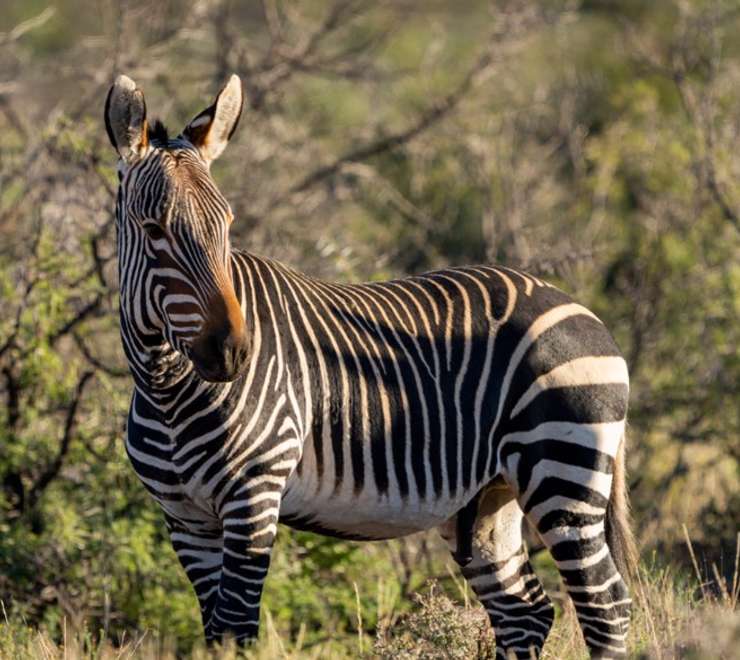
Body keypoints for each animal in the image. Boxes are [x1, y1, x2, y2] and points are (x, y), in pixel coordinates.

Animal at [105, 73, 637, 659]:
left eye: (227, 224)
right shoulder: (185, 519)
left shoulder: (253, 496)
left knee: (606, 606)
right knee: (527, 611)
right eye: (153, 229)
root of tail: (578, 307)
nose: (234, 352)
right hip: (488, 497)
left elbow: (237, 629)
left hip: (561, 470)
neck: (167, 390)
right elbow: (215, 632)